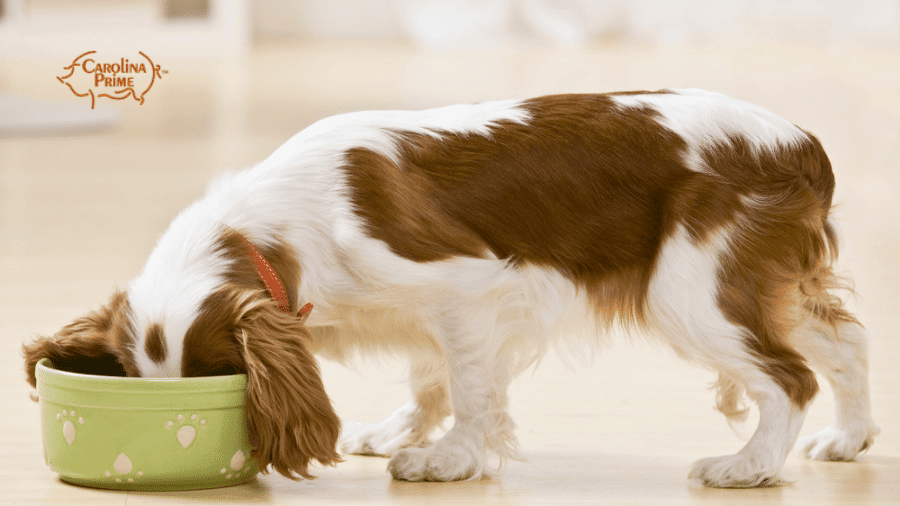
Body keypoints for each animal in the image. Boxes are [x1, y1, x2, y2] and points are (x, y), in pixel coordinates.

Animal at [22, 90, 880, 486]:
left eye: (217, 379)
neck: (273, 230)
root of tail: (801, 145)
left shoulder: (464, 289)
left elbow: (468, 387)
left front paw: (448, 459)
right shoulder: (425, 316)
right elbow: (430, 376)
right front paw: (404, 430)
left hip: (691, 291)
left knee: (788, 376)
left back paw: (749, 467)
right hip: (762, 283)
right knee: (843, 341)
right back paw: (849, 438)